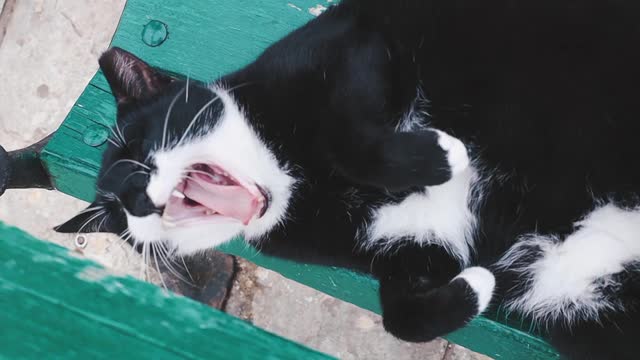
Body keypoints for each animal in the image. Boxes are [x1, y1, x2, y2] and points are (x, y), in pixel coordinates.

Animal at [55, 1, 640, 358]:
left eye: (140, 151)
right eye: (119, 218)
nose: (136, 201)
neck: (294, 183)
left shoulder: (352, 43)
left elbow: (347, 135)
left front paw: (444, 157)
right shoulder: (410, 251)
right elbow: (401, 316)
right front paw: (476, 287)